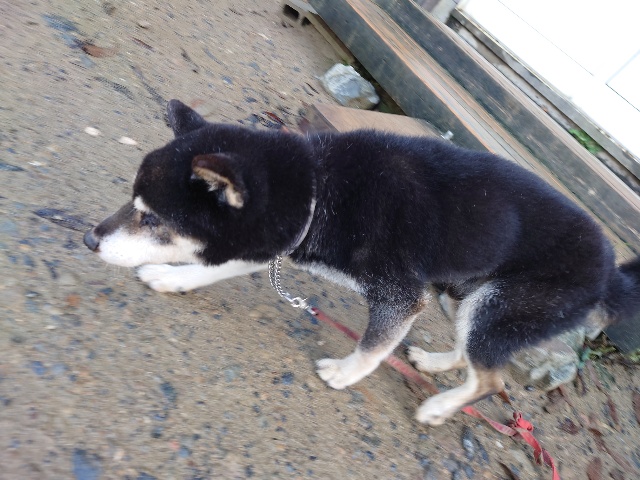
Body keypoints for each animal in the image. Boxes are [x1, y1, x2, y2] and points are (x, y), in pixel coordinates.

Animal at [84, 99, 640, 425]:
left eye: (152, 218)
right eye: (133, 203)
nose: (90, 239)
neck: (317, 190)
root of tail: (610, 276)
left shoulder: (401, 294)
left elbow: (374, 345)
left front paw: (346, 373)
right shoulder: (272, 243)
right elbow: (214, 267)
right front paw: (171, 277)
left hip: (500, 302)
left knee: (492, 380)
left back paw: (438, 406)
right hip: (471, 298)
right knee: (476, 356)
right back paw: (435, 363)